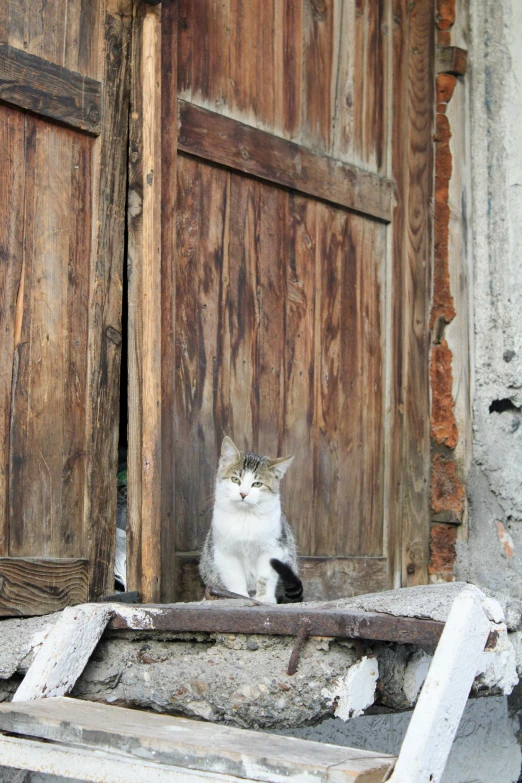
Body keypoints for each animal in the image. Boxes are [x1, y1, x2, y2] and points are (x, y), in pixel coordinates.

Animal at [200, 438, 304, 604]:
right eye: (235, 479)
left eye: (257, 484)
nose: (243, 494)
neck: (246, 518)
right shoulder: (225, 552)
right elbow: (235, 578)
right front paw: (239, 596)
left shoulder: (273, 548)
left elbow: (265, 577)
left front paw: (264, 598)